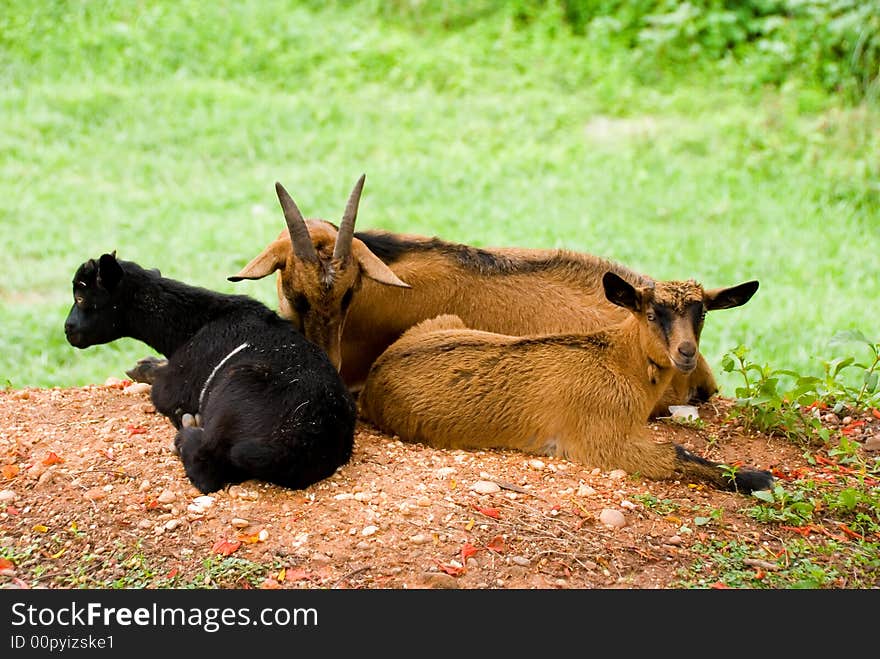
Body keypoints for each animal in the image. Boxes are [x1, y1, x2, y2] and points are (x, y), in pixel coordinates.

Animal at [63, 253, 356, 496]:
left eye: (80, 298)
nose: (68, 329)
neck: (194, 324)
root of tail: (302, 440)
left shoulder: (172, 387)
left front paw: (144, 369)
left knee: (207, 468)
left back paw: (187, 429)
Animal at [358, 270, 768, 492]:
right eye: (651, 314)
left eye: (703, 315)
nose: (685, 352)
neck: (617, 361)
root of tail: (376, 373)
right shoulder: (600, 443)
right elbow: (676, 453)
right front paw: (759, 478)